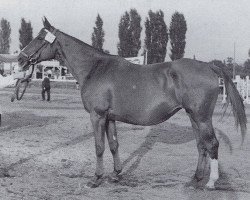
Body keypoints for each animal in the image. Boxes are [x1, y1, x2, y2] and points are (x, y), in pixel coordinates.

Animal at [17, 17, 246, 189]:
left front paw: (96, 178)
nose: (20, 59)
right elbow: (113, 145)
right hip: (193, 117)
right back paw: (195, 179)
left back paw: (211, 182)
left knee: (212, 144)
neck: (95, 68)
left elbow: (99, 146)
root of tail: (208, 65)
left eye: (39, 37)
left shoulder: (97, 115)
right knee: (201, 145)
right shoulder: (109, 118)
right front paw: (116, 174)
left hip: (202, 117)